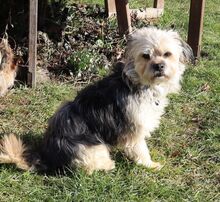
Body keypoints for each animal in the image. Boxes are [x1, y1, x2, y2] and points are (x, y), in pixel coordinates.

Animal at [0, 27, 192, 174]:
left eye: (167, 54)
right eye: (146, 55)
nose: (159, 66)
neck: (138, 82)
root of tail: (48, 157)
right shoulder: (134, 130)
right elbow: (141, 150)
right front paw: (150, 165)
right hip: (94, 148)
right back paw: (108, 165)